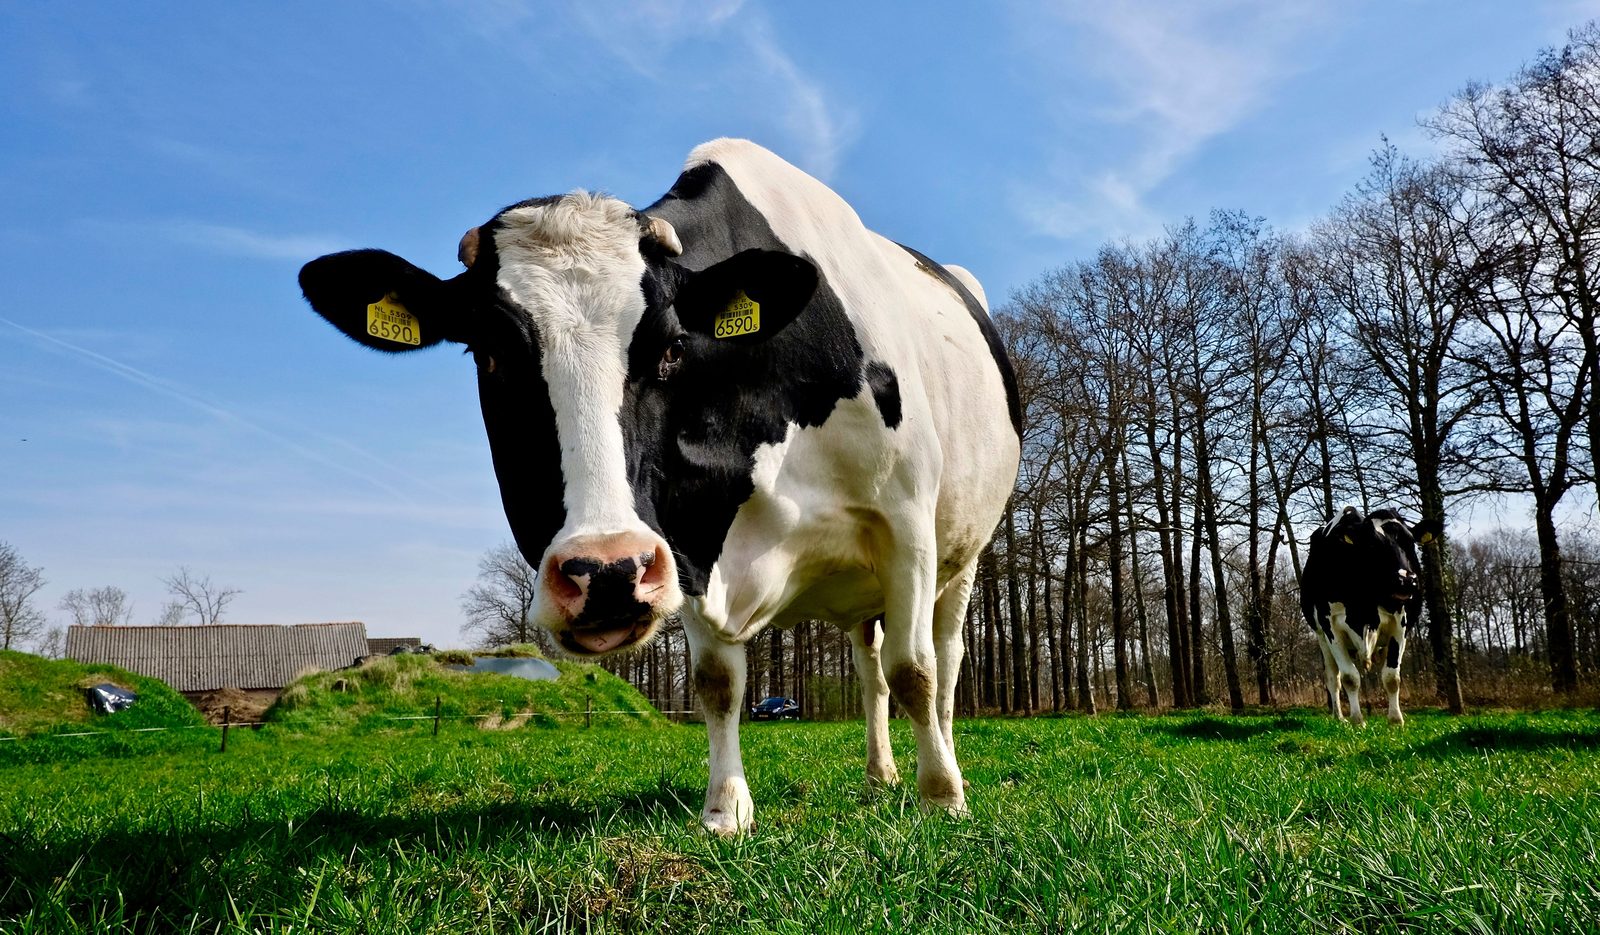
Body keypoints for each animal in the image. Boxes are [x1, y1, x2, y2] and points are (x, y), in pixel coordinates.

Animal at [297, 139, 1021, 833]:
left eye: (673, 344)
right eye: (489, 352)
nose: (606, 572)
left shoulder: (905, 522)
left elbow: (915, 669)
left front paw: (942, 797)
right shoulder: (687, 540)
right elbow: (718, 683)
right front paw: (726, 808)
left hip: (961, 555)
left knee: (942, 661)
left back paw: (940, 763)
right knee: (870, 669)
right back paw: (879, 775)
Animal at [1299, 506, 1442, 725]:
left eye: (1410, 542)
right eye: (1373, 544)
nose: (1406, 580)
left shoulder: (1401, 624)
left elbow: (1392, 677)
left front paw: (1395, 720)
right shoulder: (1331, 626)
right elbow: (1349, 677)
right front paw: (1357, 720)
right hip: (1321, 637)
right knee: (1333, 678)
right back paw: (1339, 717)